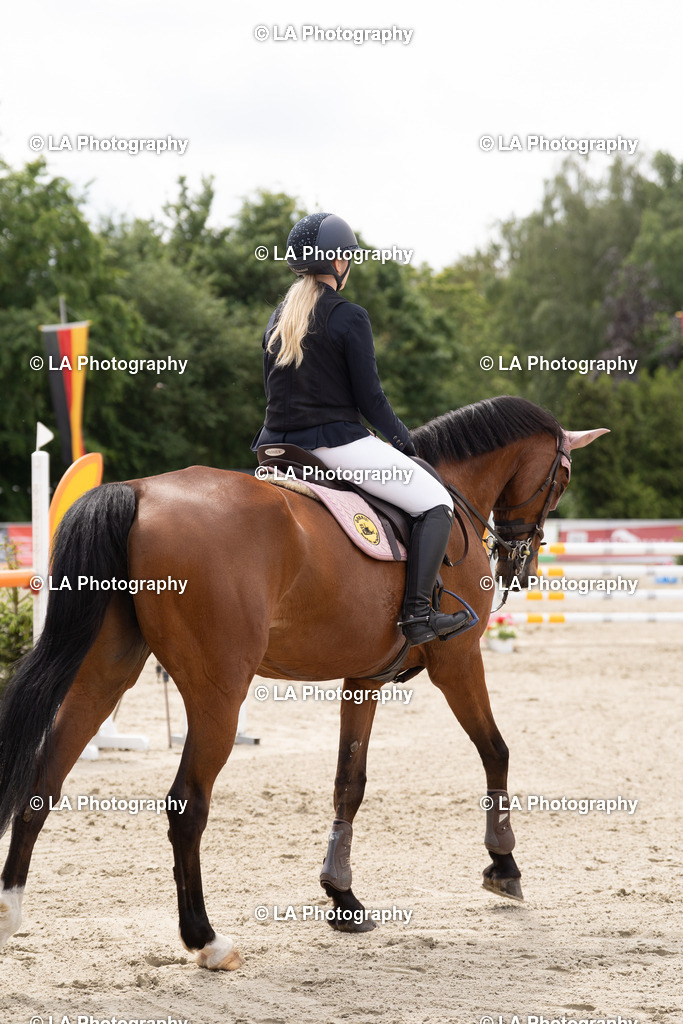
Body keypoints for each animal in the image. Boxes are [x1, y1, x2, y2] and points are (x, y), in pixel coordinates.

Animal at [0, 396, 607, 970]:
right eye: (563, 478)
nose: (520, 569)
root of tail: (140, 492)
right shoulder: (457, 660)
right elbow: (495, 750)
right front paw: (503, 864)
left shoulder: (366, 677)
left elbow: (349, 781)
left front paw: (342, 896)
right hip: (218, 693)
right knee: (186, 806)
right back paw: (207, 940)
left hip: (104, 674)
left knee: (44, 779)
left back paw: (10, 912)